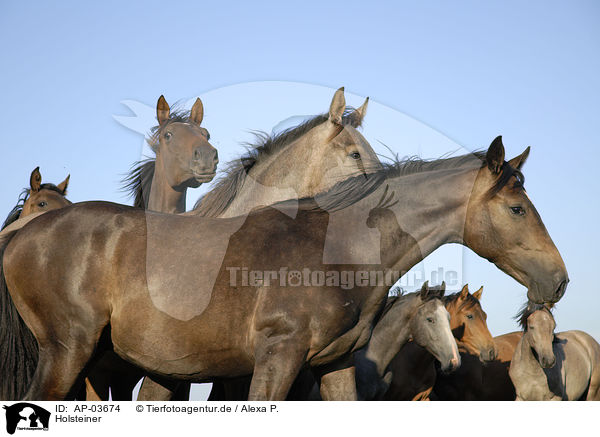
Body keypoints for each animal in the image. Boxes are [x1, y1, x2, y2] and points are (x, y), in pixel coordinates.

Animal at [3, 135, 568, 398]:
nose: (559, 280)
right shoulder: (277, 358)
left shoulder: (334, 366)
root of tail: (20, 237)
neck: (335, 250)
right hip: (67, 353)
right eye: (517, 209)